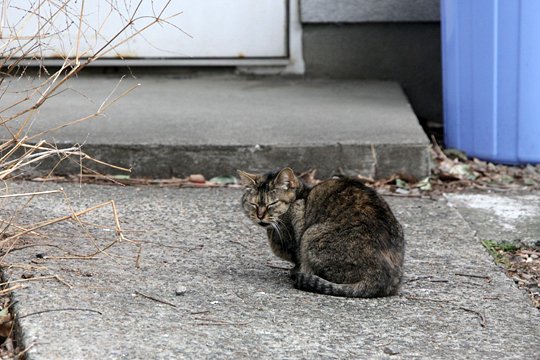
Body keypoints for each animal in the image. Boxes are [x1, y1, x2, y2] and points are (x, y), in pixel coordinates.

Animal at [238, 167, 402, 296]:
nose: (260, 216)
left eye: (272, 204)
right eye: (253, 204)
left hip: (310, 235)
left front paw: (294, 270)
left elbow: (297, 259)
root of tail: (379, 279)